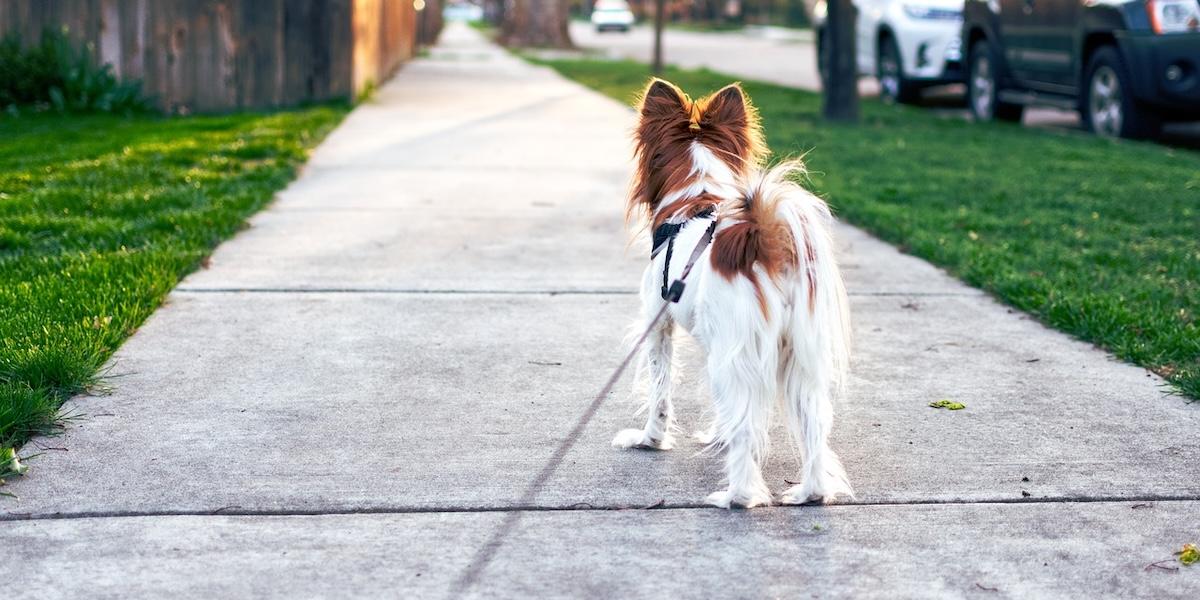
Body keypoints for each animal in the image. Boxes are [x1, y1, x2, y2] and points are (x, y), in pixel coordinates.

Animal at [609, 76, 854, 506]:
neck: (697, 195)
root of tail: (765, 241)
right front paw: (715, 437)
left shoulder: (659, 326)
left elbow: (660, 391)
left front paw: (650, 440)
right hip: (798, 357)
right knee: (814, 425)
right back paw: (810, 493)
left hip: (737, 353)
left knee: (746, 429)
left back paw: (735, 497)